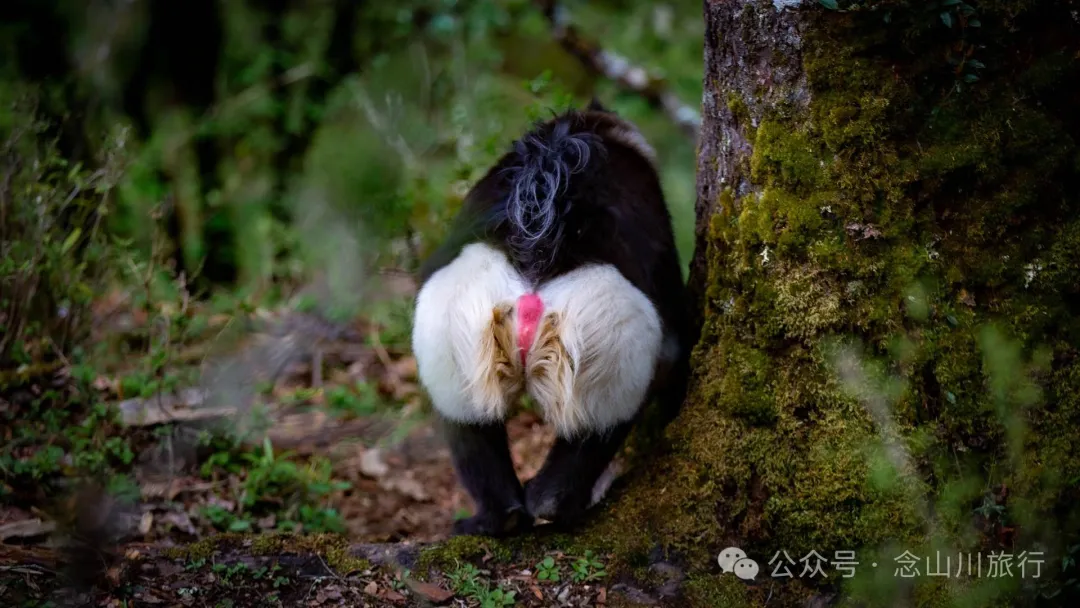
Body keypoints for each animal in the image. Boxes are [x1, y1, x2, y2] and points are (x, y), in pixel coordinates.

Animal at [411, 99, 695, 537]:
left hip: (455, 333)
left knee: (467, 425)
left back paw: (500, 517)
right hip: (606, 341)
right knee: (595, 432)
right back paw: (558, 505)